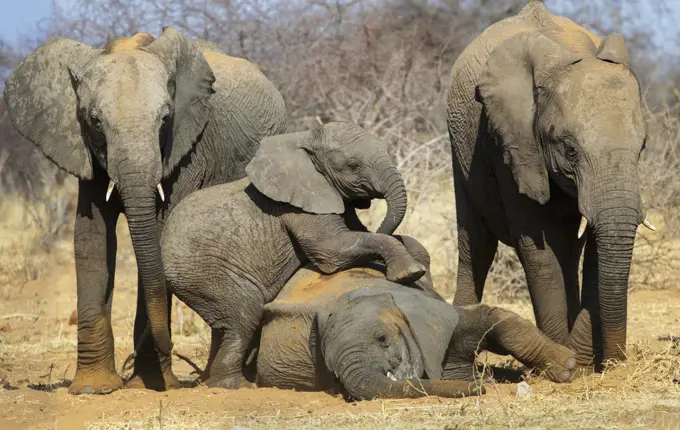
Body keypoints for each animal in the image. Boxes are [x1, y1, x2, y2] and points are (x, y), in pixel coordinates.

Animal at [2, 28, 286, 394]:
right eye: (95, 121)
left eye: (165, 119)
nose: (173, 349)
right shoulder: (85, 153)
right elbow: (92, 238)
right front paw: (94, 388)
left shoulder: (187, 152)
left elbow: (160, 234)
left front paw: (149, 383)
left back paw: (213, 379)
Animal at [162, 122, 428, 390]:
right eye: (353, 165)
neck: (305, 140)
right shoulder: (300, 205)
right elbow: (332, 249)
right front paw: (409, 272)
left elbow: (358, 233)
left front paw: (414, 257)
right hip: (205, 274)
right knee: (243, 316)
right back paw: (236, 385)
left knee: (226, 325)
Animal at [258, 264, 576, 402]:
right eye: (332, 371)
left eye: (382, 339)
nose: (480, 389)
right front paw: (476, 380)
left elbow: (489, 320)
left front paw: (567, 367)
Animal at [446, 0, 652, 370]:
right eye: (569, 149)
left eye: (642, 147)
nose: (615, 363)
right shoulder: (512, 142)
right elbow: (538, 247)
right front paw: (563, 359)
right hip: (460, 147)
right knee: (477, 244)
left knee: (567, 251)